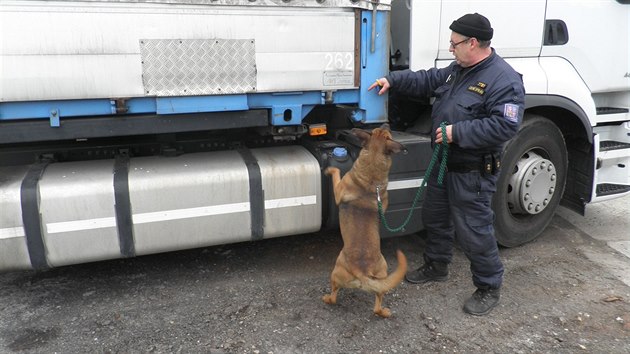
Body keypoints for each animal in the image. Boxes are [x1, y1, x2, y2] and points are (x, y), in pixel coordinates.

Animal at [326, 123, 410, 316]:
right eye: (378, 130)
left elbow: (336, 172)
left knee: (334, 297)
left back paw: (326, 298)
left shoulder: (338, 190)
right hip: (382, 275)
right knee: (377, 303)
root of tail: (362, 271)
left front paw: (329, 169)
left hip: (335, 272)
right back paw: (384, 312)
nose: (386, 123)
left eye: (385, 131)